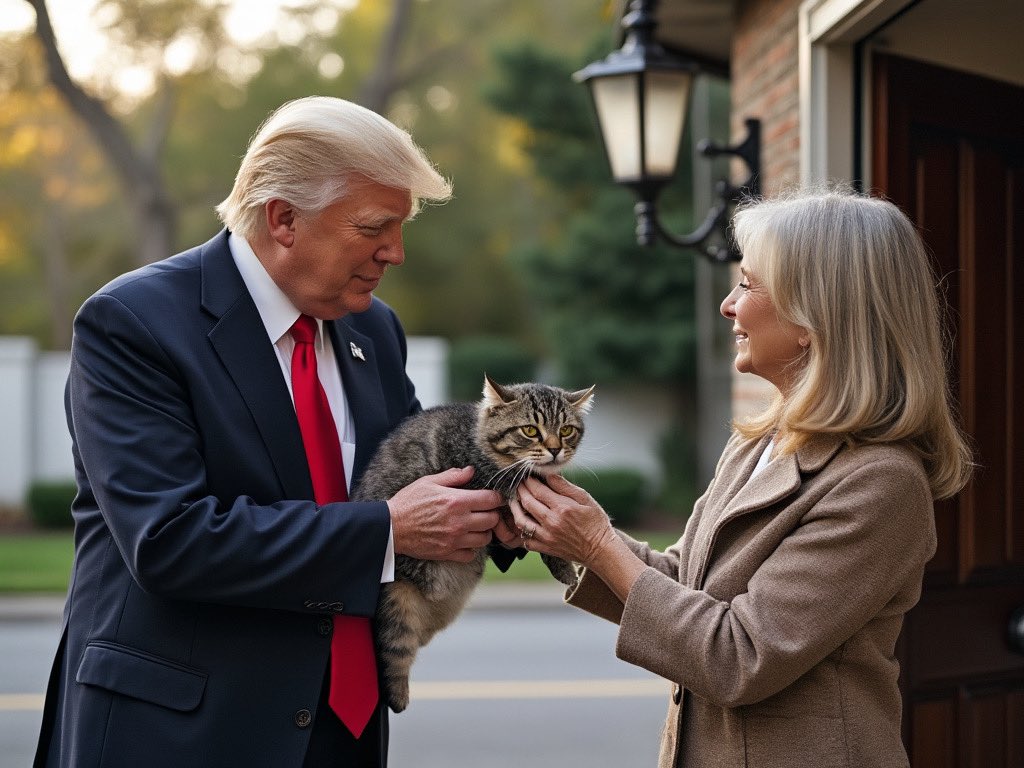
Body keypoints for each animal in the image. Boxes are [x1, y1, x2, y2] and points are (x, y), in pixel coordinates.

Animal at [352, 376, 598, 712]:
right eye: (530, 430)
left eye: (566, 430)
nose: (555, 450)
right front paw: (564, 567)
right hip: (395, 599)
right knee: (395, 650)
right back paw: (399, 696)